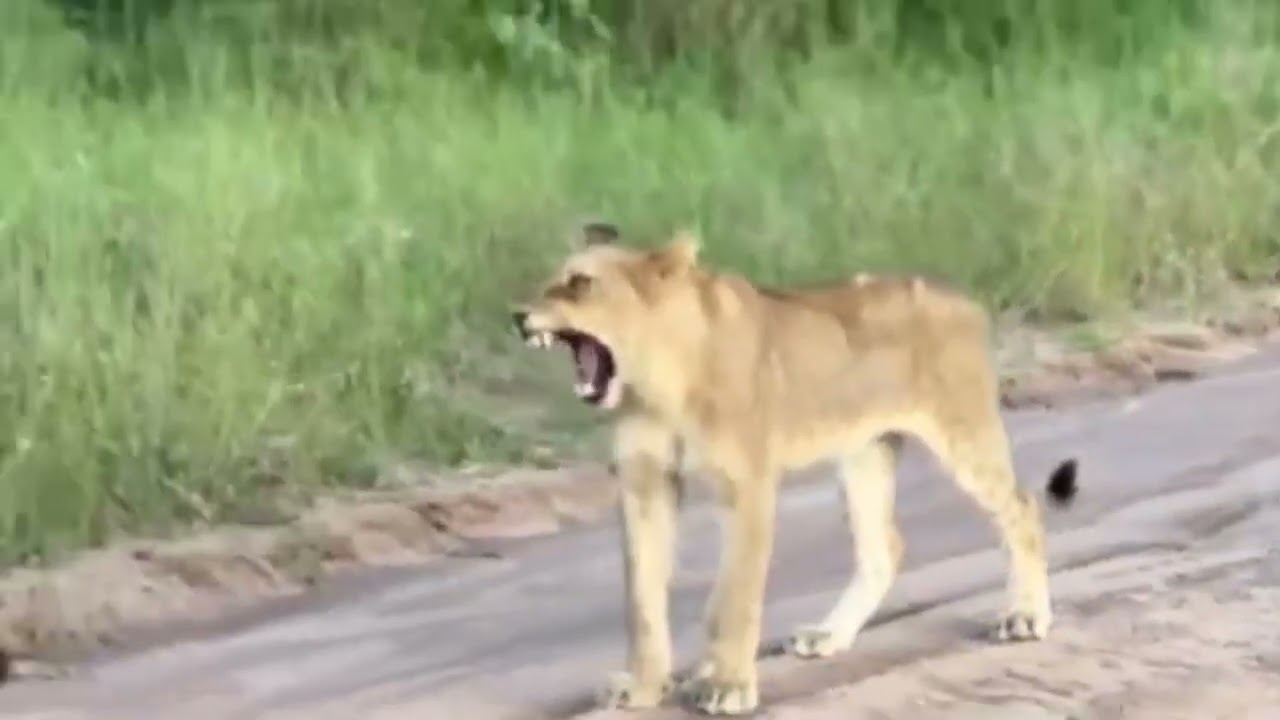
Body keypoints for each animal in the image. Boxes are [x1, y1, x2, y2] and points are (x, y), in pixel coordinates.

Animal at [511, 222, 1079, 715]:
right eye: (551, 279)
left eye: (581, 284)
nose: (518, 315)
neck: (655, 383)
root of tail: (961, 300)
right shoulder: (644, 484)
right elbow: (643, 600)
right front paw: (645, 686)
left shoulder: (747, 486)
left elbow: (735, 596)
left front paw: (728, 685)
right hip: (863, 456)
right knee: (885, 548)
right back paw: (830, 636)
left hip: (963, 435)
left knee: (1021, 508)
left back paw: (1026, 616)